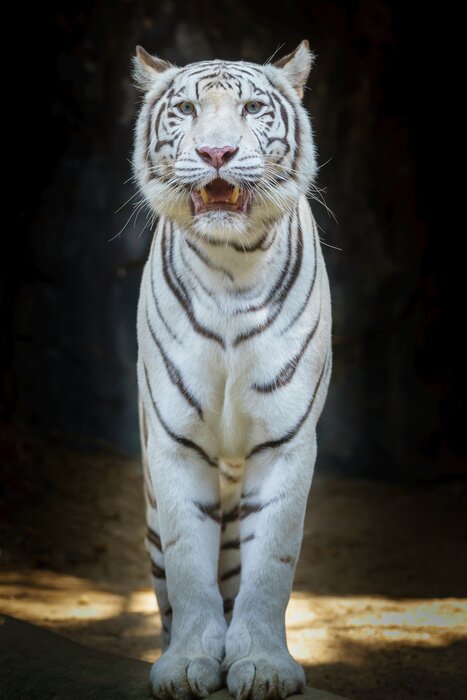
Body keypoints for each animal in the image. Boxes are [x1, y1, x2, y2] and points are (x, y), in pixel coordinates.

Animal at [132, 40, 332, 700]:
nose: (215, 153)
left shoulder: (287, 440)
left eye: (250, 108)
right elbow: (188, 565)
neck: (230, 264)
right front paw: (189, 661)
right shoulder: (173, 441)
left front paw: (264, 664)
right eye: (187, 110)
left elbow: (271, 565)